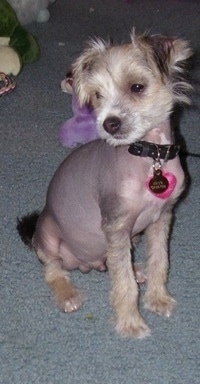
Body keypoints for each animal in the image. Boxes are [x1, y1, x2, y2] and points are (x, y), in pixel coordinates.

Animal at [17, 28, 192, 338]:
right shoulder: (116, 225)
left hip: (131, 237)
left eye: (137, 87)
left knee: (116, 263)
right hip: (48, 235)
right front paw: (130, 322)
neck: (150, 156)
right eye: (98, 95)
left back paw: (136, 269)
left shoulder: (161, 218)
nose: (109, 123)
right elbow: (124, 284)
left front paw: (157, 299)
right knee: (53, 269)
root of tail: (86, 264)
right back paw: (67, 294)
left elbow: (159, 261)